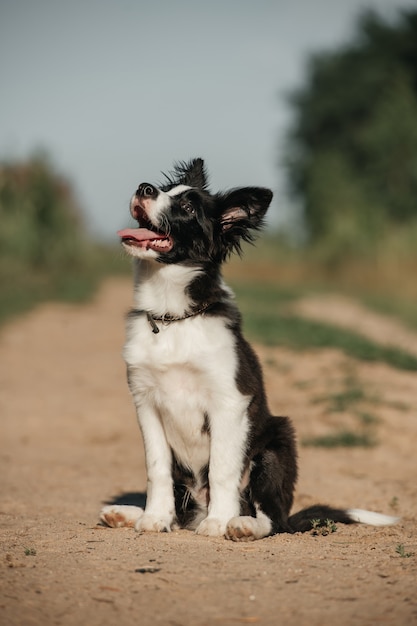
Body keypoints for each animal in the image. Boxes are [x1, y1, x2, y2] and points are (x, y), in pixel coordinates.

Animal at [101, 158, 396, 540]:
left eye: (188, 208)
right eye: (165, 190)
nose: (144, 188)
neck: (173, 318)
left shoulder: (228, 400)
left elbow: (222, 468)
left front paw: (217, 522)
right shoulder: (146, 402)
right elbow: (157, 467)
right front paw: (154, 518)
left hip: (275, 446)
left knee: (273, 519)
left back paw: (241, 523)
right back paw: (127, 513)